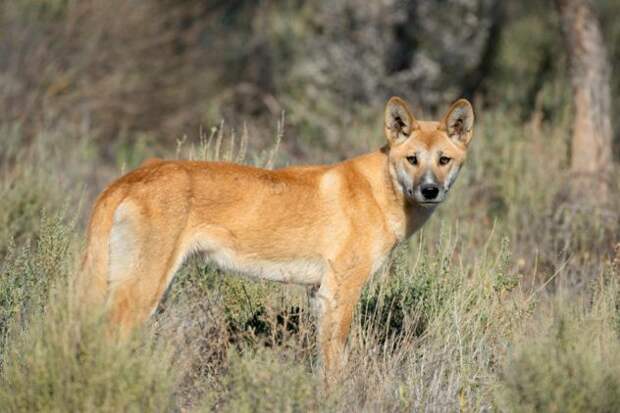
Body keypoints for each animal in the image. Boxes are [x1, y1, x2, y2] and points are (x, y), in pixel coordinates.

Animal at [77, 96, 474, 370]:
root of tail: (127, 178)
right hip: (144, 289)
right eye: (412, 159)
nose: (429, 190)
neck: (382, 190)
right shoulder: (340, 292)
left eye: (443, 160)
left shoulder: (319, 294)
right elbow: (336, 366)